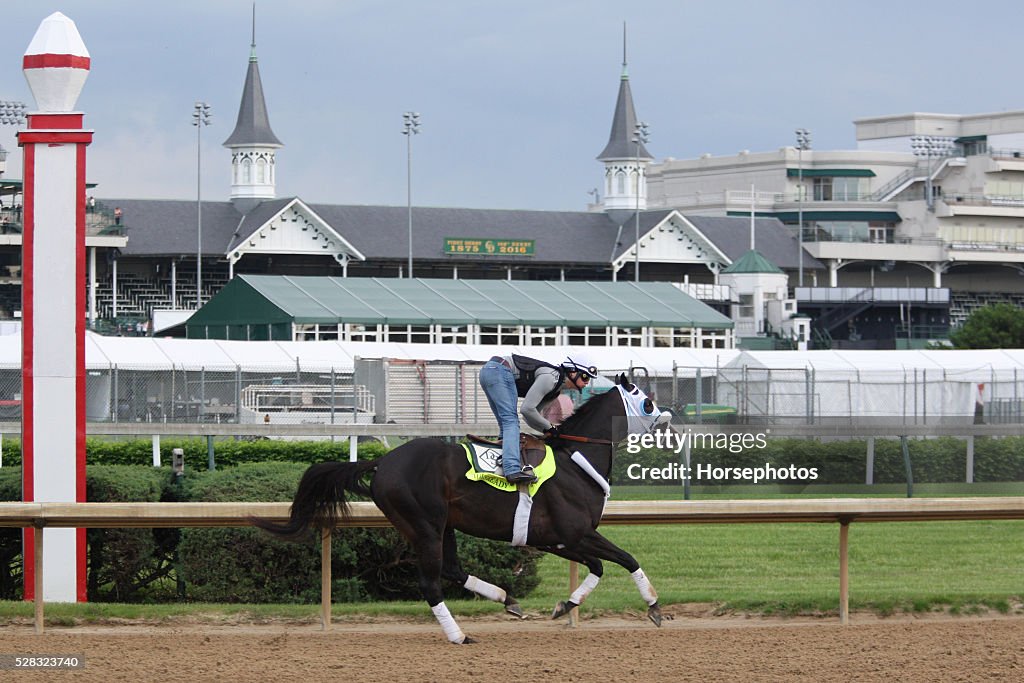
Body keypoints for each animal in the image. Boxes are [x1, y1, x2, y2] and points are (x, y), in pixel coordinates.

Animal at [254, 370, 667, 643]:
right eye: (646, 401)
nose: (666, 419)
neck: (575, 461)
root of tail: (383, 462)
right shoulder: (576, 533)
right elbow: (626, 559)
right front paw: (653, 606)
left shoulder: (556, 539)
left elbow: (598, 566)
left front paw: (565, 605)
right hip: (425, 525)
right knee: (431, 582)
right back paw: (458, 635)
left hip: (442, 525)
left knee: (452, 569)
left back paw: (506, 598)